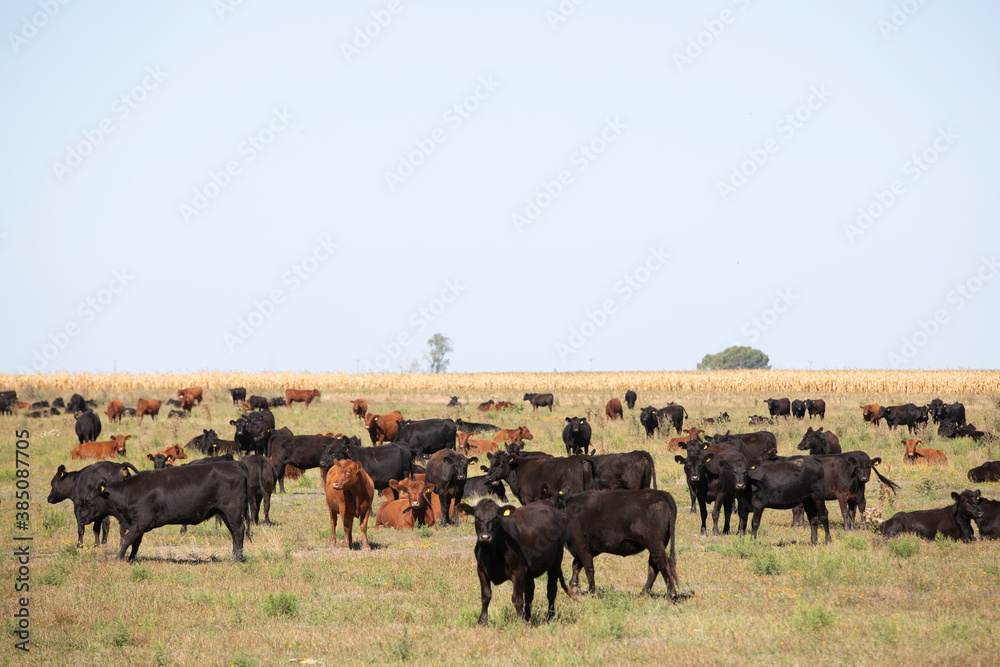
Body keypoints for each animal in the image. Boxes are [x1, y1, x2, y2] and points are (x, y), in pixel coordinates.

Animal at [91, 460, 250, 564]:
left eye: (89, 500)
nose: (84, 519)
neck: (131, 492)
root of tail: (235, 464)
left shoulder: (141, 522)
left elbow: (127, 539)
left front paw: (118, 558)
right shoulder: (138, 524)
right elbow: (135, 542)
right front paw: (131, 559)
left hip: (232, 510)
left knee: (238, 530)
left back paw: (238, 558)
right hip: (225, 513)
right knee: (233, 532)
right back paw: (234, 556)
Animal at [454, 500, 572, 628]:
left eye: (496, 518)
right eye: (476, 517)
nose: (485, 537)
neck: (491, 555)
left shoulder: (518, 571)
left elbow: (517, 598)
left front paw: (521, 622)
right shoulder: (481, 570)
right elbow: (486, 596)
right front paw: (482, 621)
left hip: (556, 560)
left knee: (551, 589)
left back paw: (550, 617)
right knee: (530, 592)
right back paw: (528, 617)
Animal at [548, 488, 680, 596]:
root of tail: (661, 493)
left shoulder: (581, 545)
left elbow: (588, 568)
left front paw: (592, 593)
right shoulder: (586, 548)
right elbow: (576, 565)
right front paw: (574, 586)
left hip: (655, 543)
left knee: (663, 564)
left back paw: (671, 595)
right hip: (658, 544)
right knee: (654, 566)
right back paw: (643, 594)